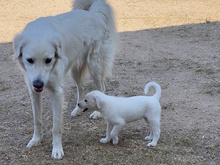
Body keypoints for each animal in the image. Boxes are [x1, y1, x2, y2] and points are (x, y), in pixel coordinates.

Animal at [12, 0, 117, 160]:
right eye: (29, 60)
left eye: (48, 60)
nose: (39, 84)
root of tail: (94, 14)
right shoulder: (33, 91)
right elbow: (37, 120)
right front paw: (36, 140)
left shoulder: (57, 92)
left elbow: (56, 127)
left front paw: (56, 150)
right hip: (75, 70)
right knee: (81, 88)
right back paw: (77, 109)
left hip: (95, 67)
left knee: (102, 88)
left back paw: (97, 113)